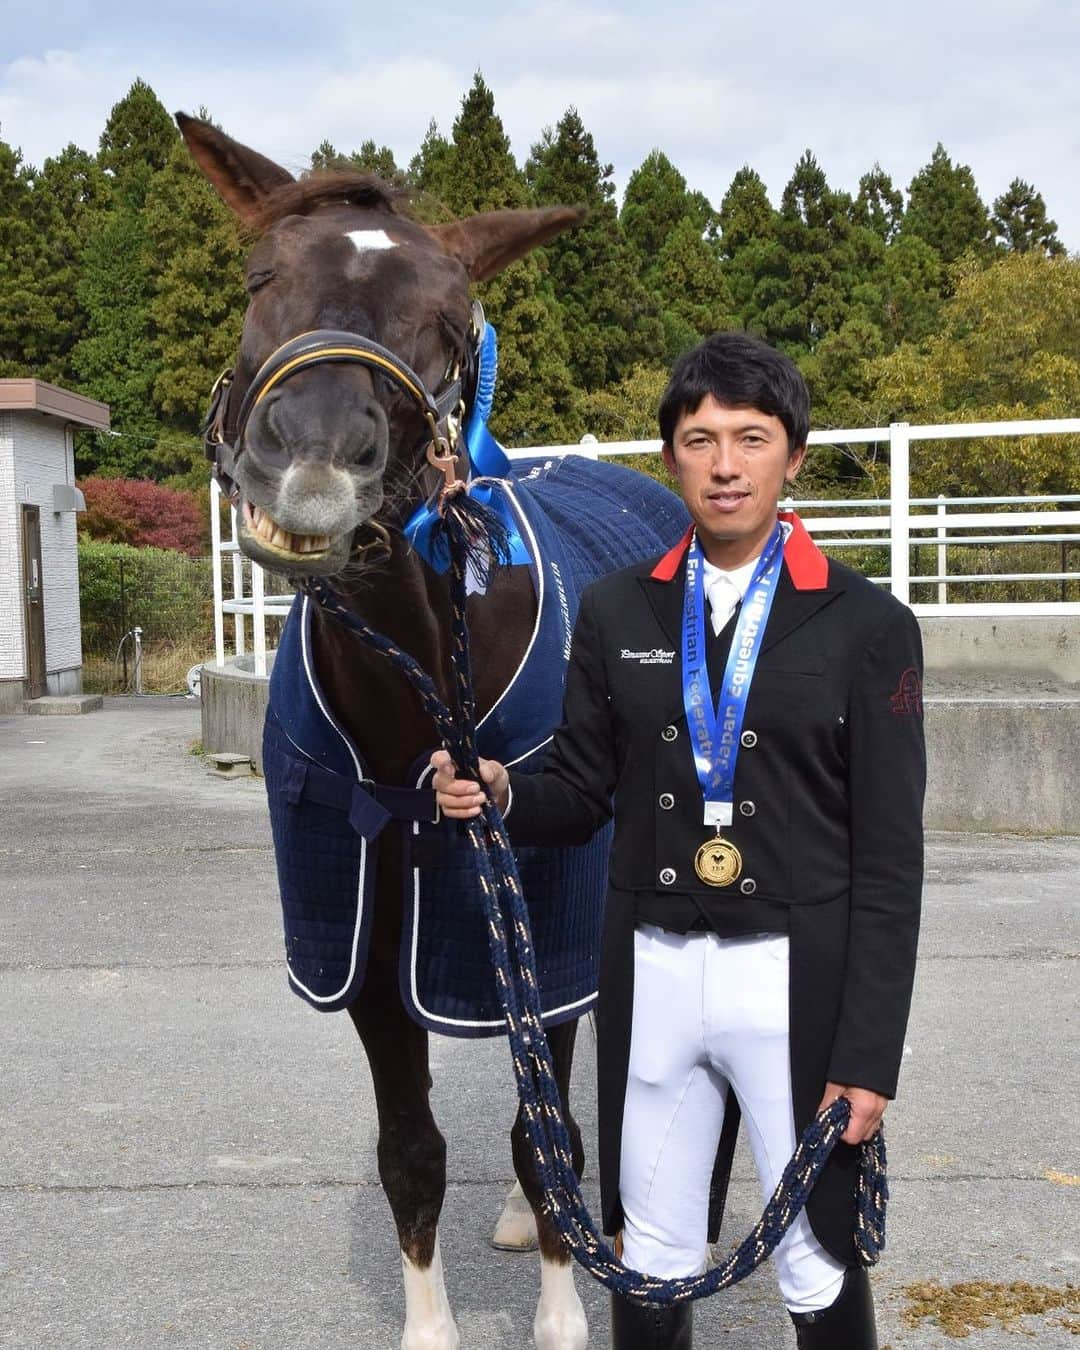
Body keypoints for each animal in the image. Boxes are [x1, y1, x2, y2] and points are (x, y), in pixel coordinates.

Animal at [176, 113, 683, 1350]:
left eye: (452, 322)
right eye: (259, 278)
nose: (313, 462)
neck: (417, 687)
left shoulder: (545, 892)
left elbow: (547, 1136)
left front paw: (562, 1315)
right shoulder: (363, 934)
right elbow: (413, 1151)